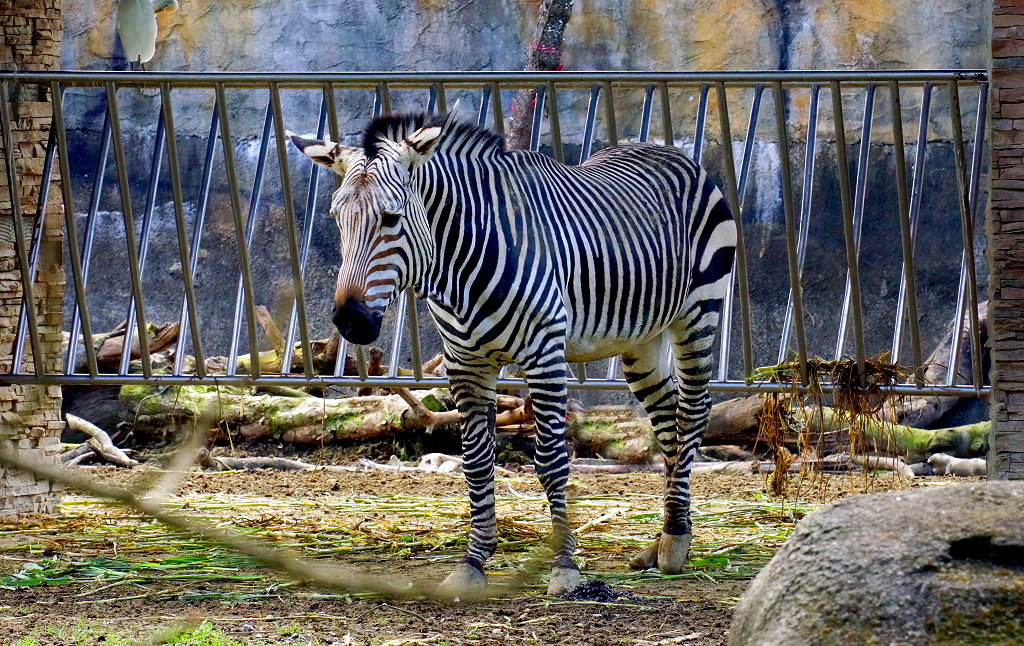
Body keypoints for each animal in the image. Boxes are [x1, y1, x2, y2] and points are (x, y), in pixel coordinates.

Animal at [287, 110, 737, 597]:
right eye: (336, 218)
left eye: (391, 218)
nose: (350, 322)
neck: (458, 268)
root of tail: (665, 150)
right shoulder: (465, 365)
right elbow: (476, 462)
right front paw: (473, 563)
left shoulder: (545, 356)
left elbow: (552, 461)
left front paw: (565, 568)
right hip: (640, 340)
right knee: (669, 420)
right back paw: (665, 540)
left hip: (698, 314)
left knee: (693, 413)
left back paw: (675, 542)